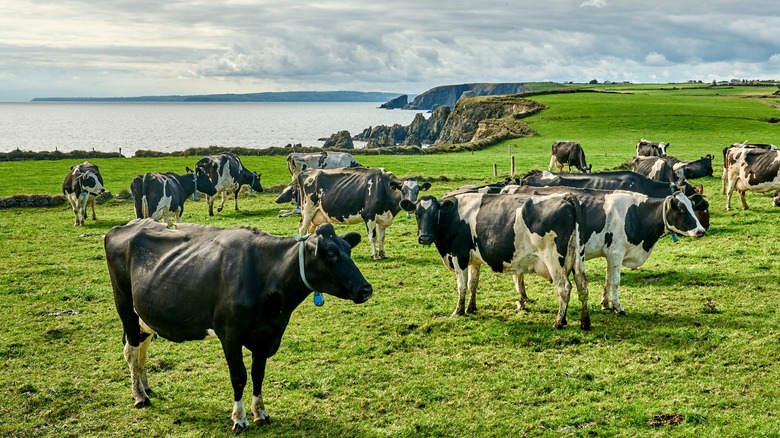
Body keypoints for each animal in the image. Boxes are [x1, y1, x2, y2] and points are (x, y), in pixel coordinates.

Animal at [104, 221, 372, 432]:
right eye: (331, 255)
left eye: (349, 250)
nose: (366, 289)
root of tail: (125, 226)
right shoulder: (230, 334)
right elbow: (239, 376)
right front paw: (239, 419)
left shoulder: (268, 335)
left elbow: (258, 374)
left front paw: (260, 413)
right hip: (125, 306)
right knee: (131, 351)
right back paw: (139, 395)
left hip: (146, 316)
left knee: (141, 349)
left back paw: (145, 386)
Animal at [298, 166, 432, 258]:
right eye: (403, 190)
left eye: (417, 190)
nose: (411, 205)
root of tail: (308, 171)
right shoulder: (369, 216)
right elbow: (373, 237)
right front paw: (375, 256)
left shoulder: (383, 217)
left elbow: (382, 237)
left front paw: (383, 254)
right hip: (307, 209)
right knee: (302, 229)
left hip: (316, 216)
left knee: (310, 231)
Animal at [402, 192, 592, 328]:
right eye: (417, 214)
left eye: (435, 214)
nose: (424, 238)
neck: (452, 217)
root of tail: (565, 197)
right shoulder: (474, 260)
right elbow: (473, 284)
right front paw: (471, 308)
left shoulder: (459, 256)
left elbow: (461, 286)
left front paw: (459, 310)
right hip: (577, 259)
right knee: (582, 286)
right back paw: (584, 322)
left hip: (553, 259)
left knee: (564, 287)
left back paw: (559, 321)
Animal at [500, 186, 708, 314]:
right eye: (681, 210)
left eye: (692, 207)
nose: (701, 231)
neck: (635, 214)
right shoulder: (616, 253)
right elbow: (615, 281)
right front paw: (618, 307)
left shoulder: (611, 255)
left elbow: (608, 279)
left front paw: (606, 304)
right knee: (517, 275)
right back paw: (522, 300)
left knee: (518, 275)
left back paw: (523, 299)